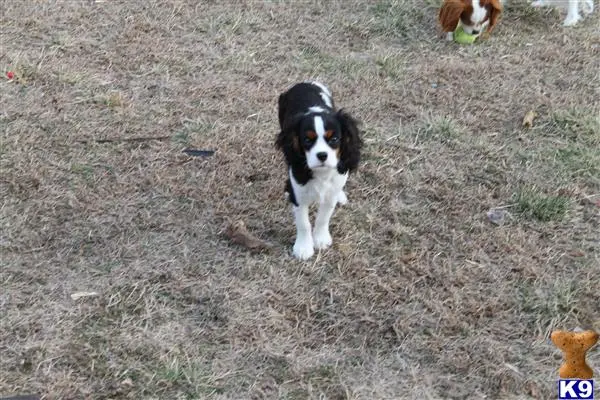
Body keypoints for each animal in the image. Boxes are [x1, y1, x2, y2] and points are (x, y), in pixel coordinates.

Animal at [276, 82, 360, 260]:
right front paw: (303, 248)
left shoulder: (330, 195)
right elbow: (303, 223)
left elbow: (323, 218)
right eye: (307, 140)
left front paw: (321, 239)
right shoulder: (299, 196)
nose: (322, 155)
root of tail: (305, 82)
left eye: (334, 139)